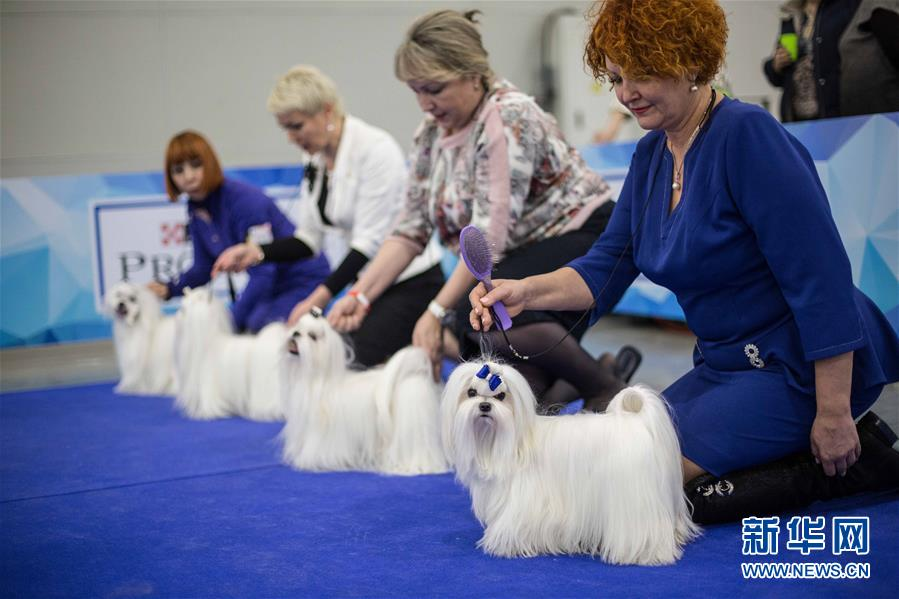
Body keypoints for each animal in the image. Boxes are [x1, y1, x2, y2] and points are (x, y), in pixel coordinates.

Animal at [442, 360, 704, 568]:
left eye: (501, 396)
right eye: (471, 393)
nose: (485, 406)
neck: (509, 442)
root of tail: (640, 422)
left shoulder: (524, 501)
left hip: (634, 500)